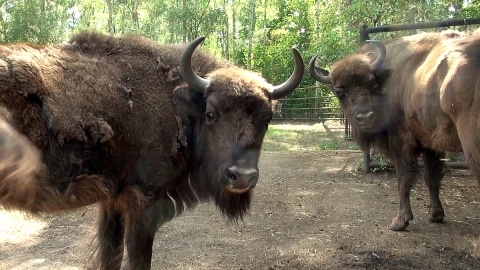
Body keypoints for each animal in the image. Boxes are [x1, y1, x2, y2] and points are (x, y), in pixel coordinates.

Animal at [0, 32, 304, 268]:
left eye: (268, 118)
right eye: (211, 113)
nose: (241, 176)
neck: (176, 103)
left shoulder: (113, 200)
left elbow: (111, 256)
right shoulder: (144, 200)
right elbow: (137, 259)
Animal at [310, 29, 480, 258]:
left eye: (372, 83)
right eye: (339, 91)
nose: (365, 117)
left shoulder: (401, 141)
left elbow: (403, 179)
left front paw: (399, 222)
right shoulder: (430, 143)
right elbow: (431, 178)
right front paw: (435, 215)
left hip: (471, 144)